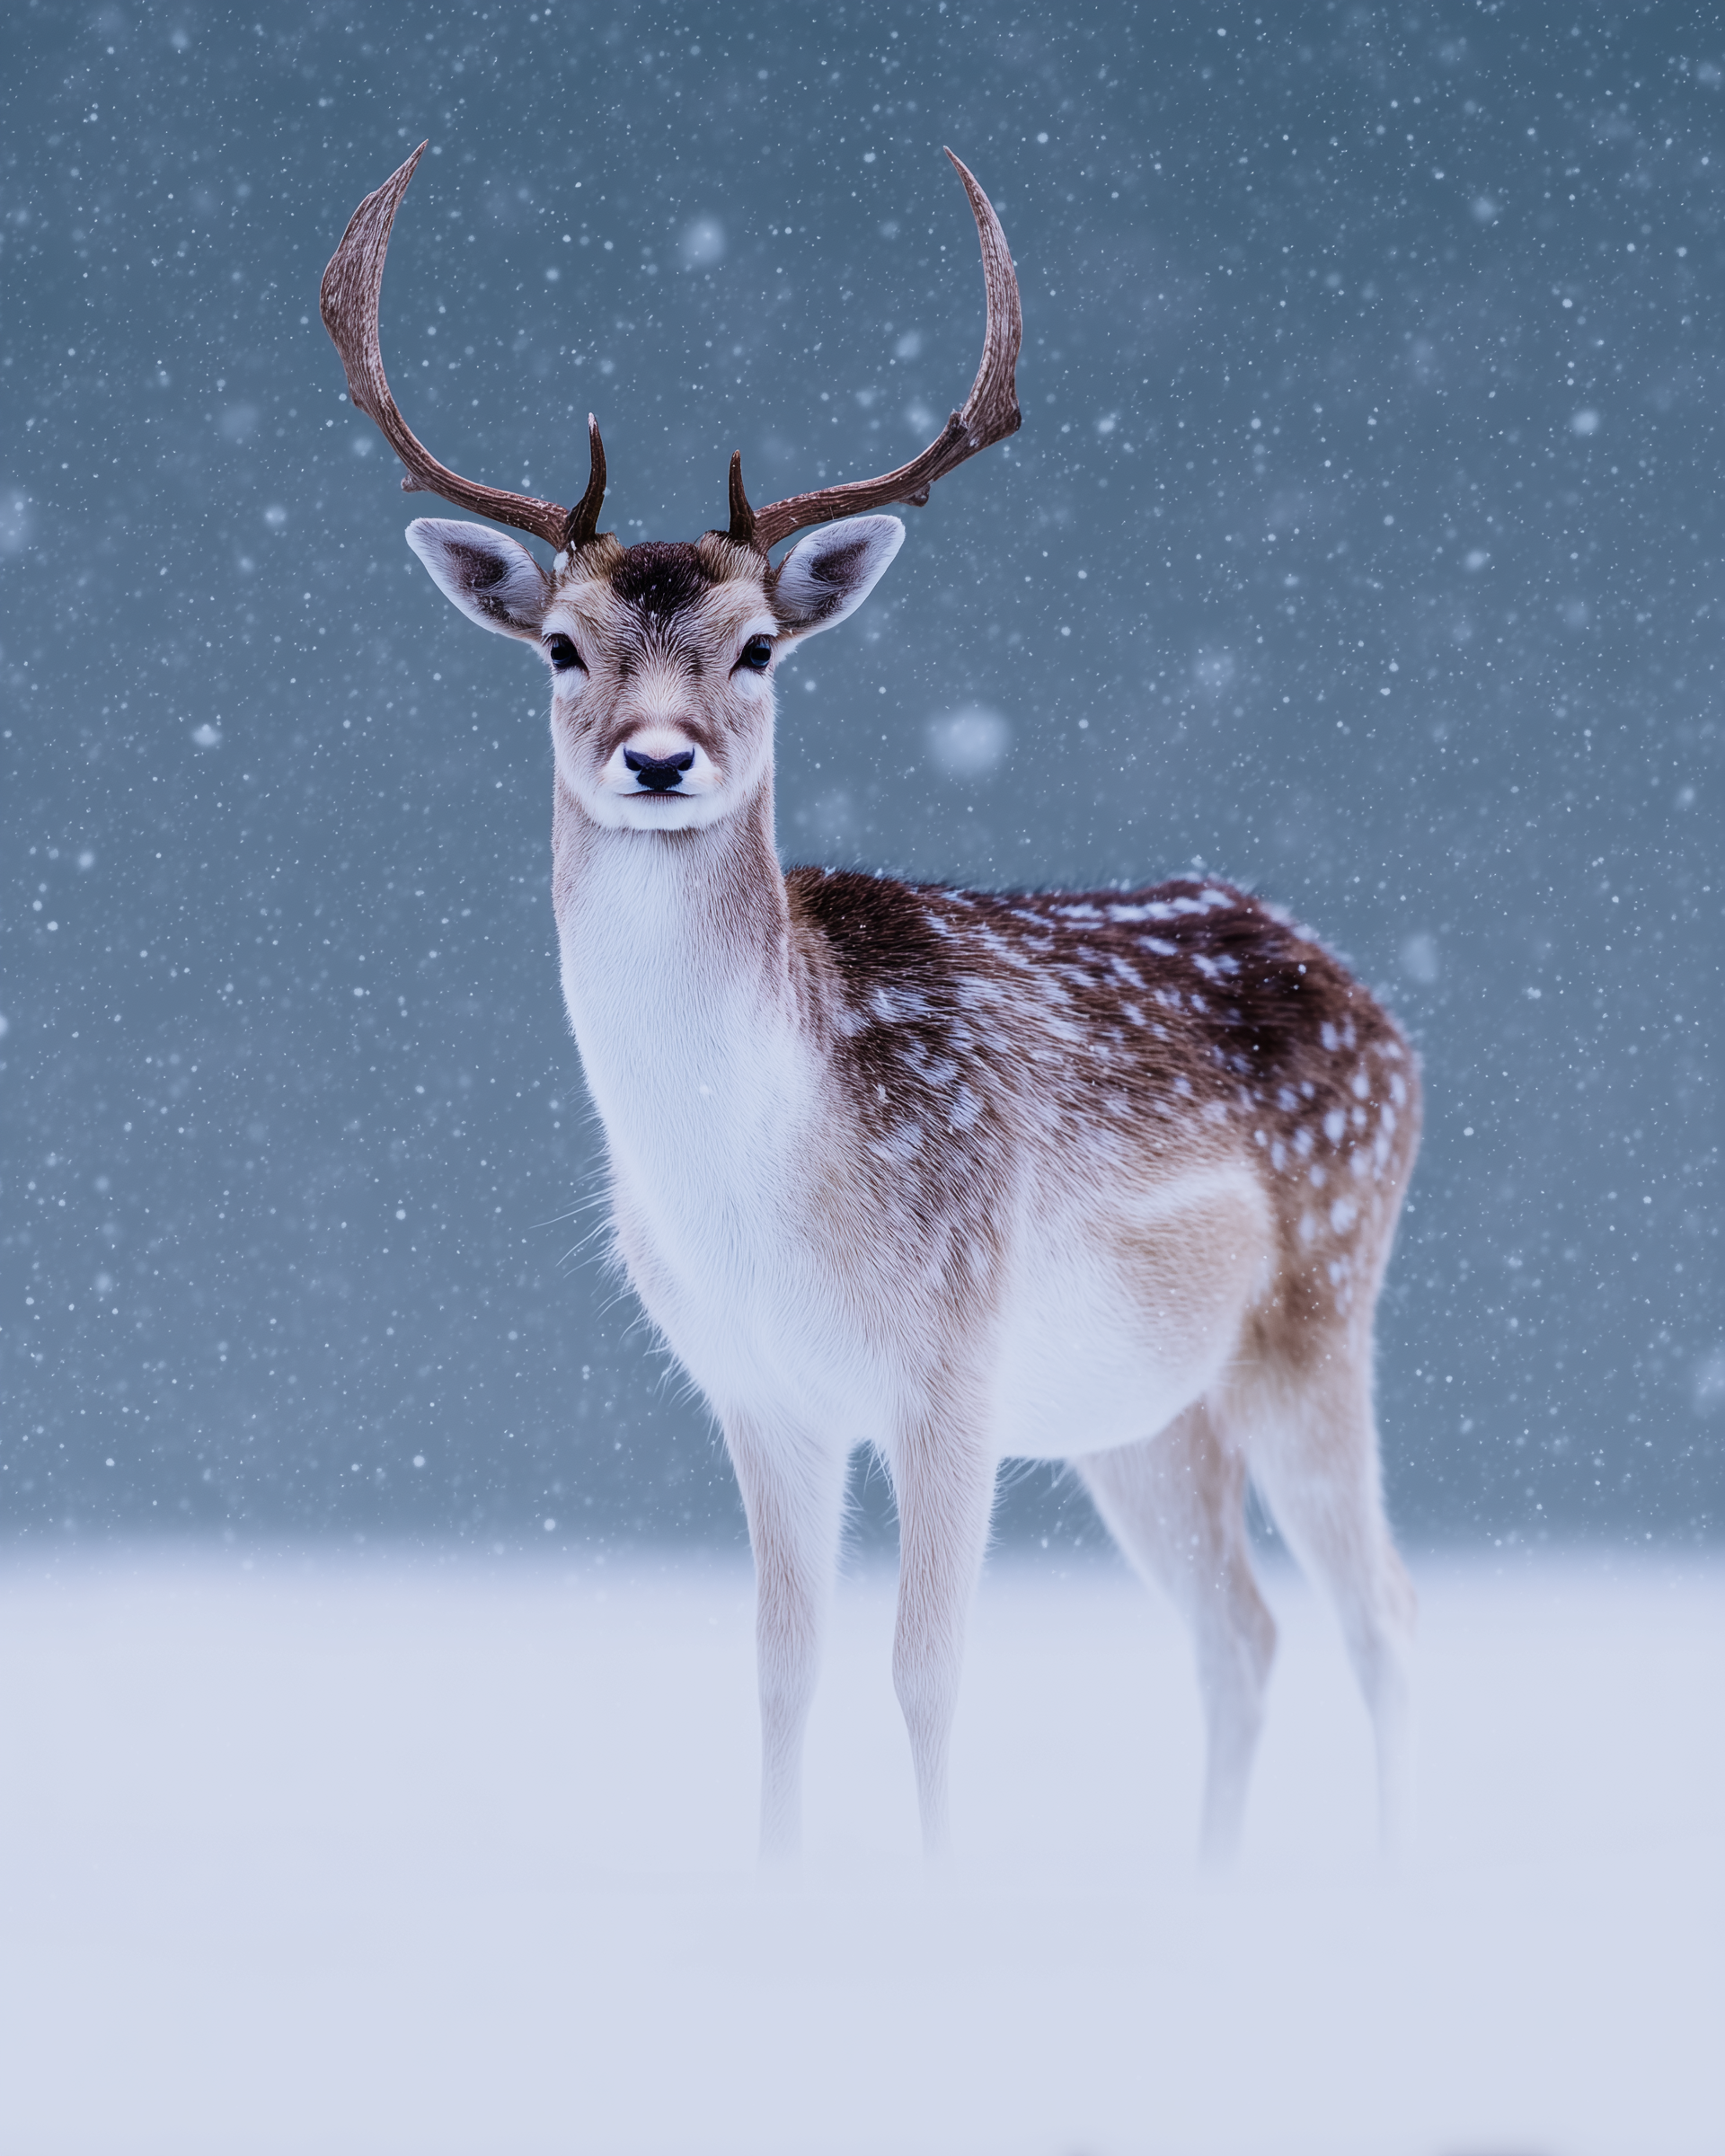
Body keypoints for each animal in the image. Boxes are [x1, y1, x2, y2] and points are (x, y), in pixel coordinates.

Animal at [322, 144, 1420, 1864]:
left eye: (760, 647)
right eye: (561, 645)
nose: (657, 757)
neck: (764, 1182)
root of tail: (1381, 1012)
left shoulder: (950, 1357)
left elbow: (928, 1671)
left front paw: (931, 1886)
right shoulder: (756, 1387)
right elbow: (783, 1674)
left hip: (1319, 1305)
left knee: (1382, 1612)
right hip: (1140, 1410)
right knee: (1243, 1631)